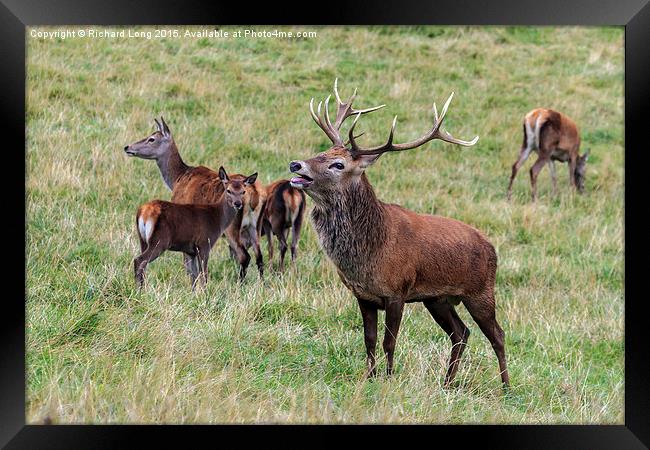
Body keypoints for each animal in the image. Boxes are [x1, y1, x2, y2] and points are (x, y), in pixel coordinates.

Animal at [123, 116, 252, 280]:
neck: (177, 179)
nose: (127, 147)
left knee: (243, 255)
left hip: (231, 228)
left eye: (151, 139)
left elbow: (189, 267)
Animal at [288, 80, 506, 386]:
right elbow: (369, 340)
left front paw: (389, 379)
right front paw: (369, 377)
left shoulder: (397, 291)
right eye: (324, 152)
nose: (296, 165)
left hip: (481, 291)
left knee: (497, 334)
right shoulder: (364, 296)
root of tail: (491, 247)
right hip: (437, 298)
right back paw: (447, 384)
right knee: (460, 332)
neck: (371, 252)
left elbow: (389, 342)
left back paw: (506, 386)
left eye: (338, 165)